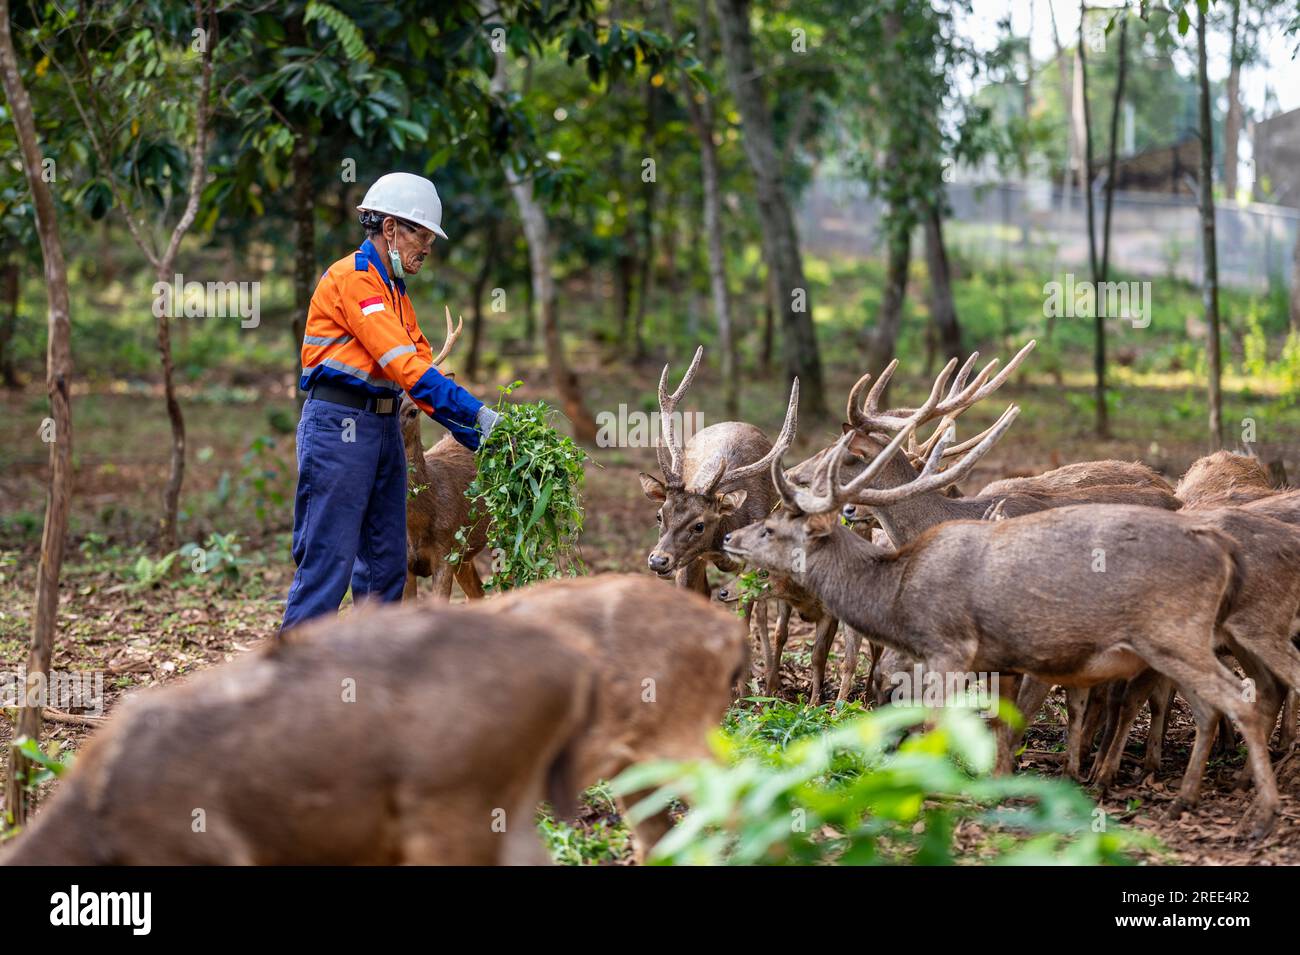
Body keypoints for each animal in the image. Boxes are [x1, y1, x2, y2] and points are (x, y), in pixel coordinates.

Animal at [634, 348, 795, 691]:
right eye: (659, 514)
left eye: (699, 524)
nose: (658, 560)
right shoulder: (690, 561)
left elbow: (745, 613)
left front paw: (743, 689)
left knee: (766, 614)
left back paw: (770, 679)